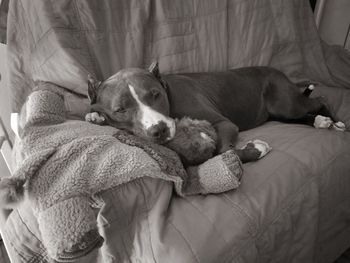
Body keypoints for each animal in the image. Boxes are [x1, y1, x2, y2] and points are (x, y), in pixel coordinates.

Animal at [85, 63, 344, 164]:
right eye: (120, 110)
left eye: (155, 94)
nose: (159, 129)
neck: (169, 93)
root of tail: (280, 73)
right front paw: (95, 117)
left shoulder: (224, 123)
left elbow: (222, 151)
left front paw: (256, 149)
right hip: (279, 113)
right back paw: (321, 122)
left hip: (286, 104)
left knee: (318, 100)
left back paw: (335, 122)